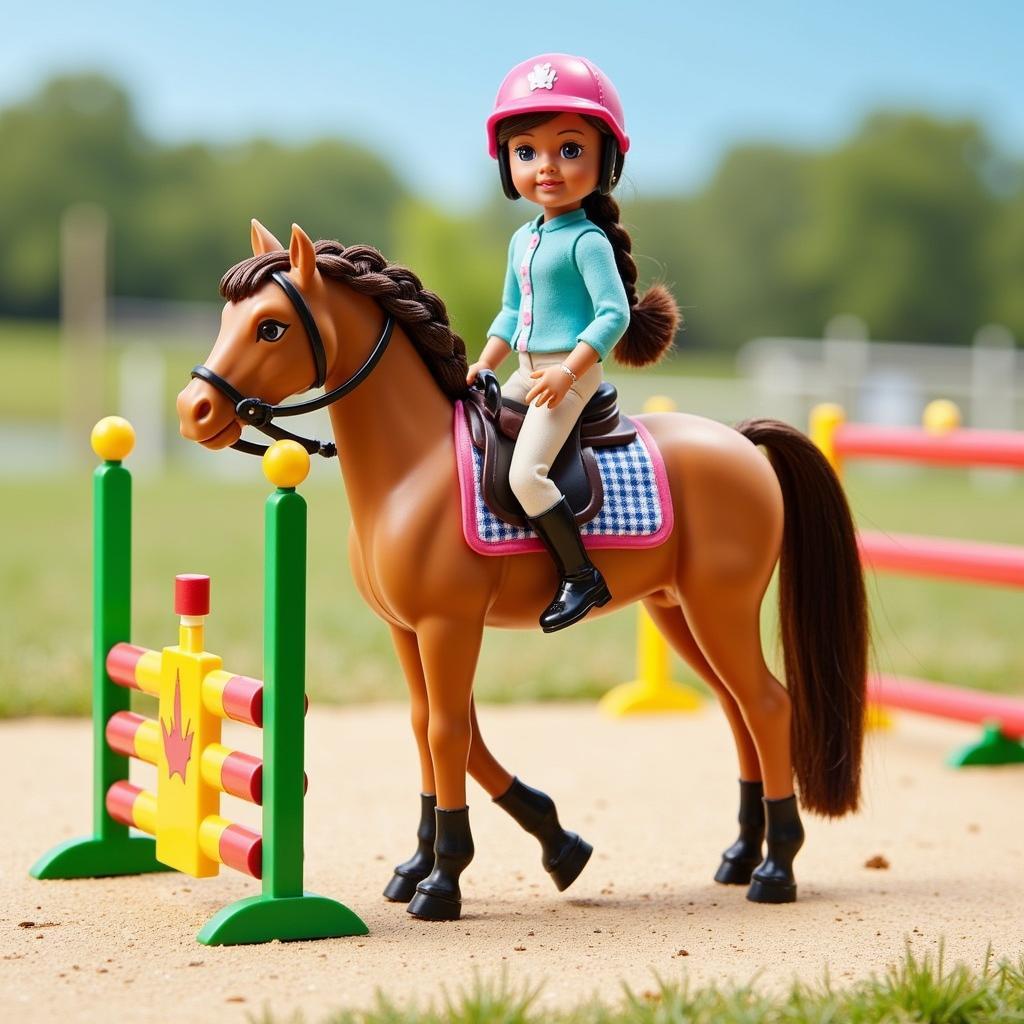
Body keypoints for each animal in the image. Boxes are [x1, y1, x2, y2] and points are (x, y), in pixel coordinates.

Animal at [176, 220, 864, 925]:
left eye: (271, 328)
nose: (192, 410)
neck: (413, 468)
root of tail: (742, 441)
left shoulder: (449, 626)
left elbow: (449, 733)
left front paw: (443, 882)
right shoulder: (407, 630)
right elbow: (430, 728)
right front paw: (529, 847)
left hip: (719, 609)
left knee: (768, 706)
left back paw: (776, 870)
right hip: (677, 612)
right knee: (736, 709)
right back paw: (739, 856)